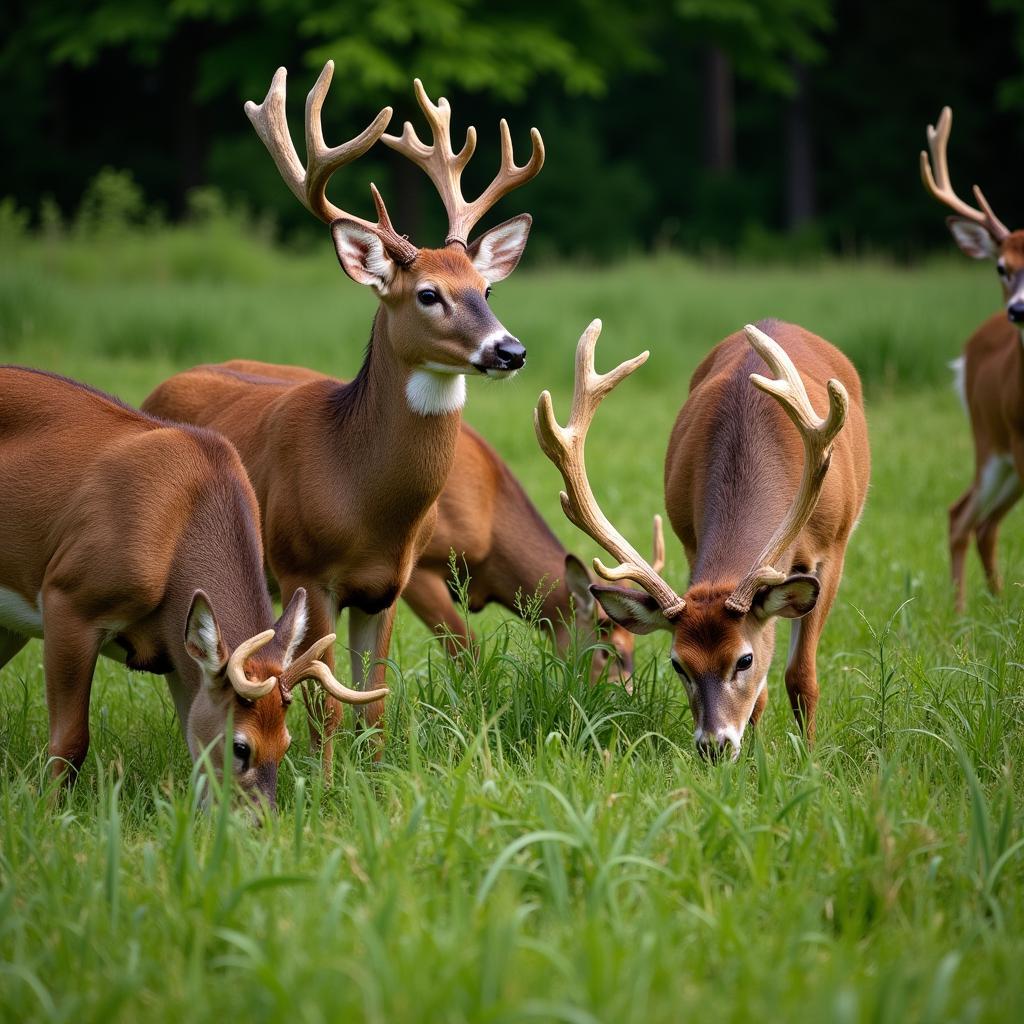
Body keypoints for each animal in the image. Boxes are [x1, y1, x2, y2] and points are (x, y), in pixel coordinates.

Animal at [0, 364, 385, 802]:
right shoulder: (68, 598)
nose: (262, 816)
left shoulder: (176, 653)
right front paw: (50, 810)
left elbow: (195, 750)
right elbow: (69, 742)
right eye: (241, 747)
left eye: (286, 743)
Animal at [146, 64, 544, 770]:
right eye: (428, 294)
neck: (361, 494)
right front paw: (328, 782)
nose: (510, 350)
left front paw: (377, 775)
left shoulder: (388, 583)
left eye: (487, 288)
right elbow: (326, 707)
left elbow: (375, 700)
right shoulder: (308, 570)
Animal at [540, 319, 868, 761]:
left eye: (744, 660)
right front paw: (754, 759)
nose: (714, 745)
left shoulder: (831, 549)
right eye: (678, 664)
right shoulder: (690, 541)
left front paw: (811, 760)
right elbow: (760, 697)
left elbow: (801, 677)